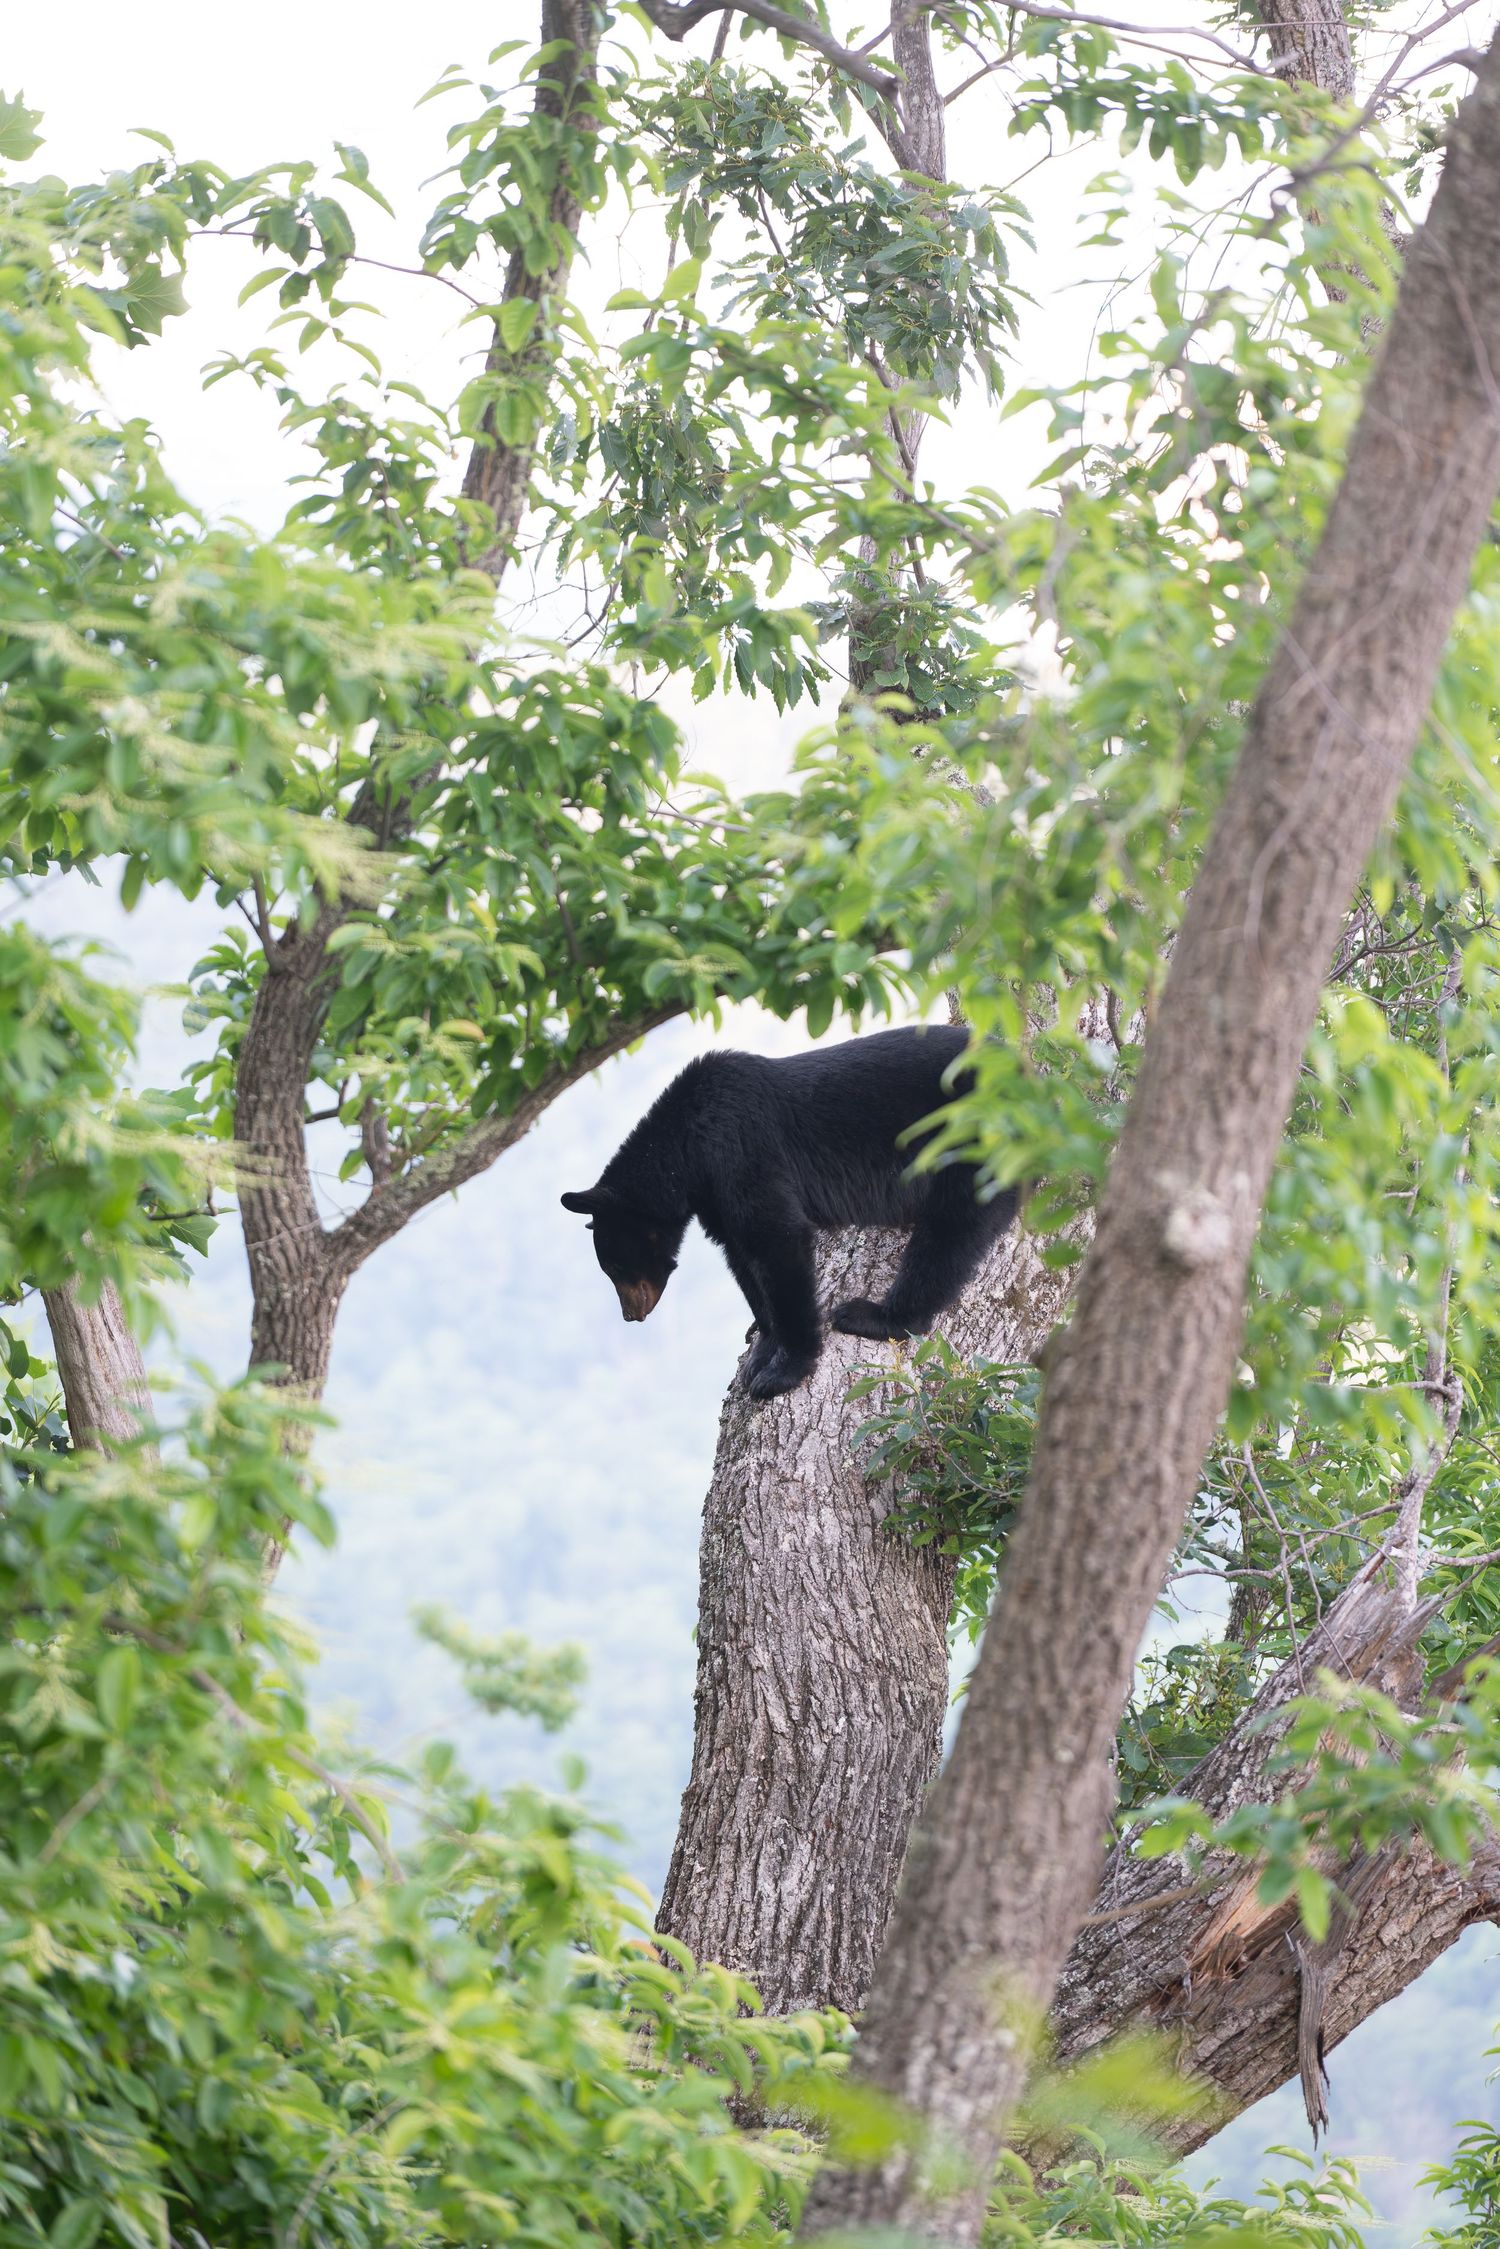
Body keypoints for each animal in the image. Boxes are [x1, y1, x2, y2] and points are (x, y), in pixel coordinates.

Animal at [560, 1024, 1019, 1401]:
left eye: (616, 1267)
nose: (630, 1316)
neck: (686, 1149)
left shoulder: (742, 1149)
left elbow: (777, 1240)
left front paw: (781, 1372)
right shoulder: (715, 1195)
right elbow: (741, 1258)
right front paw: (762, 1346)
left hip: (972, 1140)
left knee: (952, 1231)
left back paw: (876, 1315)